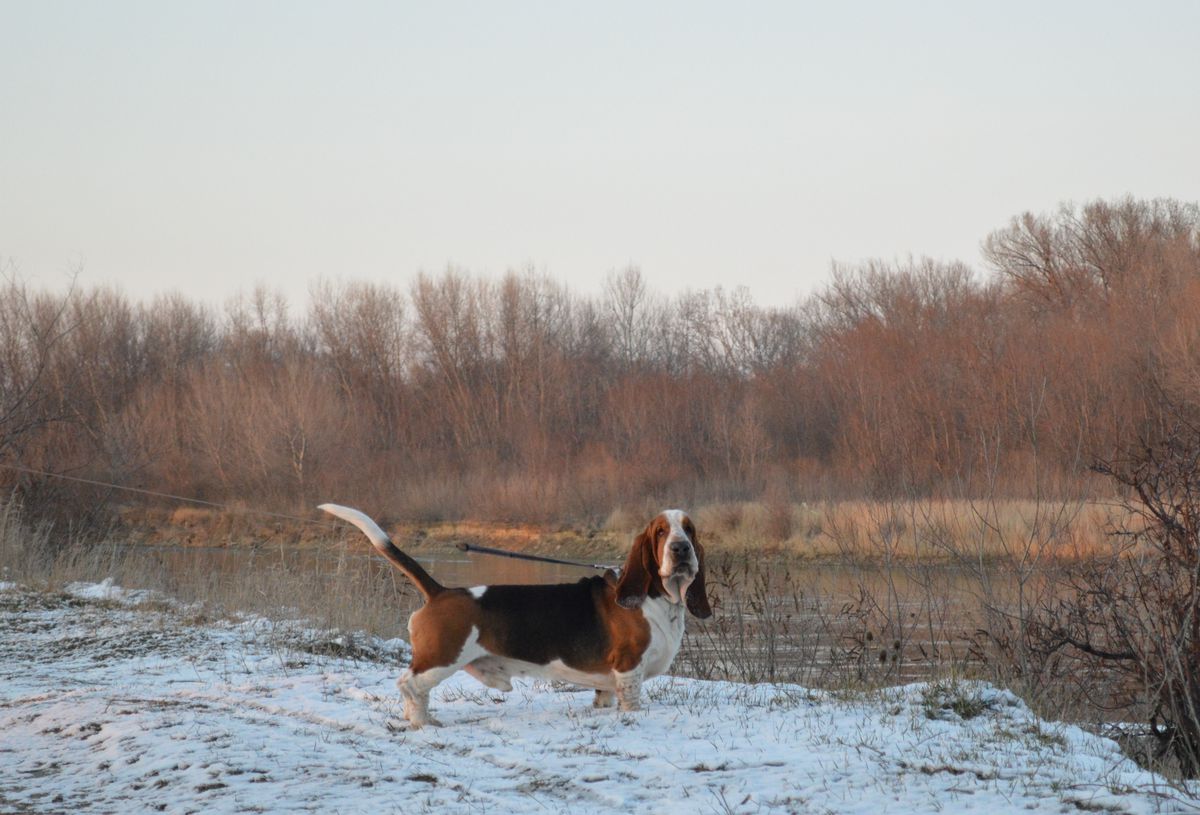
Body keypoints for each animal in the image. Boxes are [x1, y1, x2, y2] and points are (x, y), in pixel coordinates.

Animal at [321, 504, 710, 724]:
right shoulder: (629, 670)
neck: (658, 596)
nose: (681, 549)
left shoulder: (607, 682)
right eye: (661, 532)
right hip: (441, 658)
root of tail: (441, 591)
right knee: (409, 685)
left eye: (689, 529)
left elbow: (603, 698)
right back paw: (422, 723)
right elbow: (631, 704)